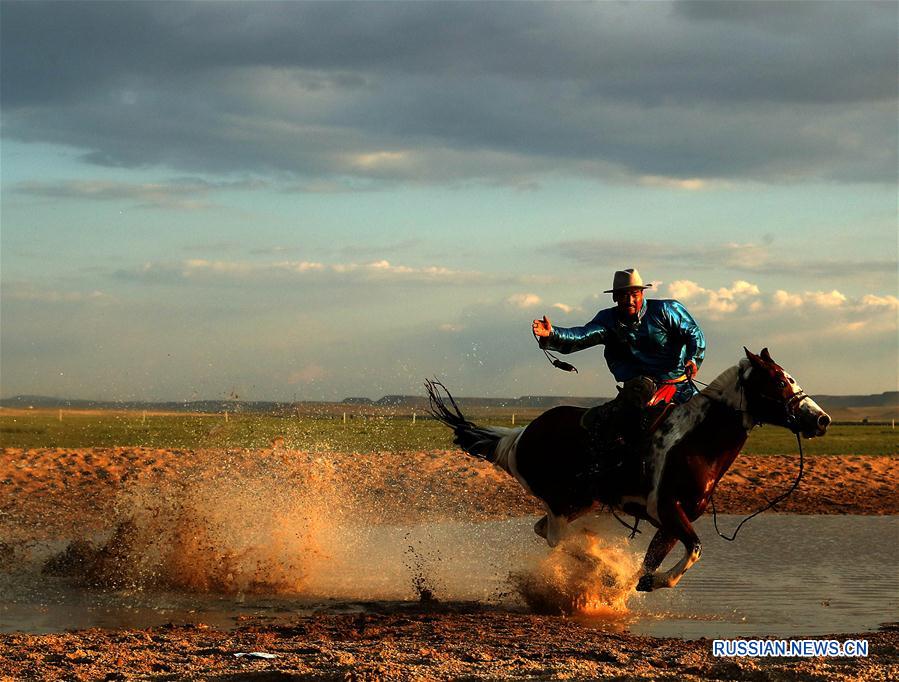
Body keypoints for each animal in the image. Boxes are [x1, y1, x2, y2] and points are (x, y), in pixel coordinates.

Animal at [426, 348, 832, 588]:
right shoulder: (667, 510)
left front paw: (640, 582)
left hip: (582, 502)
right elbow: (694, 549)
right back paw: (599, 567)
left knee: (546, 531)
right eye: (779, 380)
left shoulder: (672, 521)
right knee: (556, 536)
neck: (695, 442)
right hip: (561, 501)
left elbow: (661, 559)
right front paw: (645, 582)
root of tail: (519, 435)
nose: (821, 419)